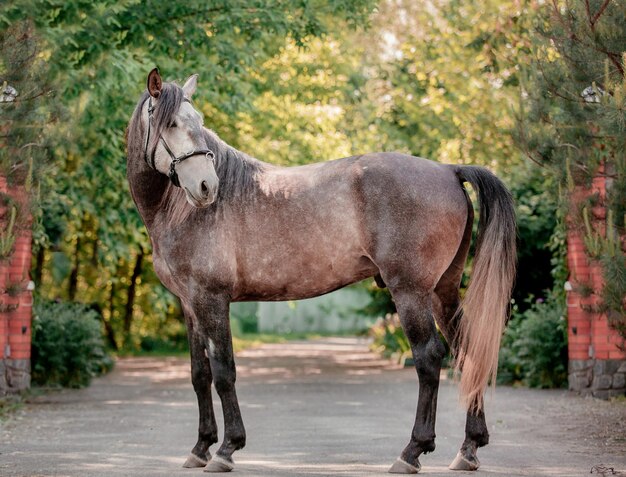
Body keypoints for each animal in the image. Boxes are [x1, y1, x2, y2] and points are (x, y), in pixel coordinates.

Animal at [124, 67, 516, 472]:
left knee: (429, 357)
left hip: (411, 292)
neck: (183, 212)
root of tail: (448, 169)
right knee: (466, 351)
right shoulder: (190, 304)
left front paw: (227, 449)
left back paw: (412, 451)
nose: (206, 186)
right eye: (171, 124)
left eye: (199, 123)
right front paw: (200, 447)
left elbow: (223, 372)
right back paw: (468, 449)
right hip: (442, 292)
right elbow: (199, 374)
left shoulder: (212, 300)